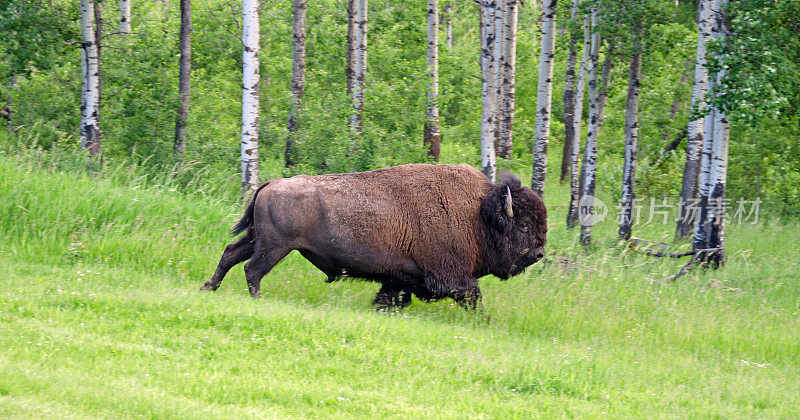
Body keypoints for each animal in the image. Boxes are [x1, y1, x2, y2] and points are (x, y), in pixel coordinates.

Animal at [203, 162, 548, 310]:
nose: (539, 253)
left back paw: (208, 288)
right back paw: (257, 299)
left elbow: (392, 295)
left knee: (230, 254)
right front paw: (482, 320)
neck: (478, 214)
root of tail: (271, 183)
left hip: (257, 239)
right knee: (252, 269)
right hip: (275, 247)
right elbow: (473, 295)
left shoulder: (401, 276)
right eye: (524, 226)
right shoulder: (451, 275)